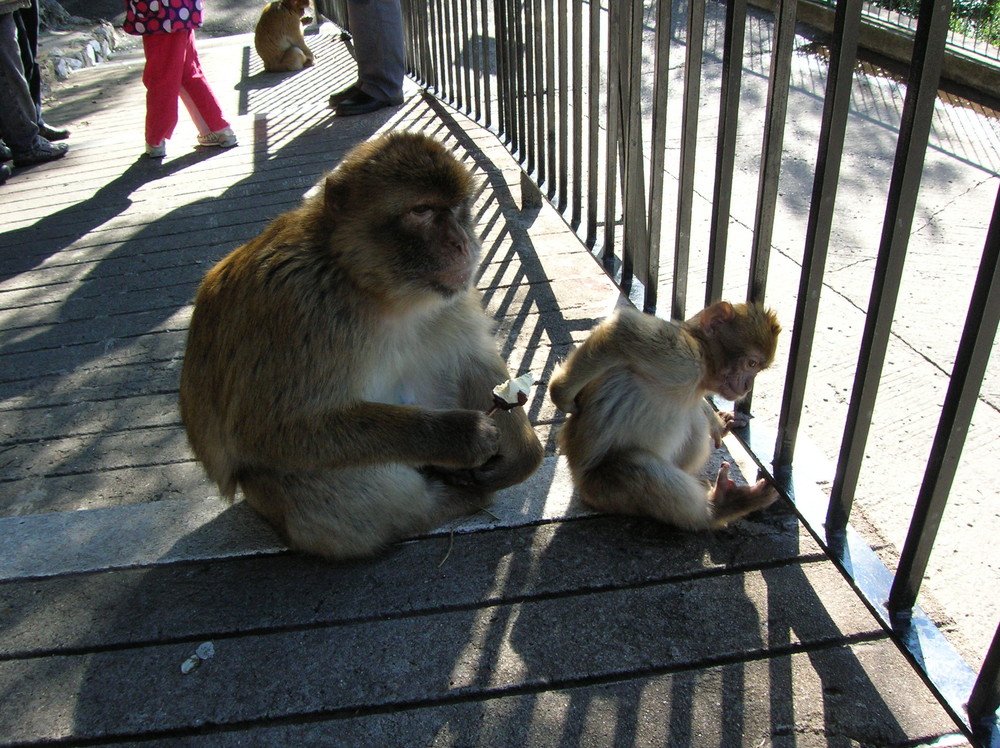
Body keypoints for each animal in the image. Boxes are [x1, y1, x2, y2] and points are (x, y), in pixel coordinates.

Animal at [552, 300, 784, 528]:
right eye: (751, 363)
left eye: (757, 369)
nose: (747, 387)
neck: (704, 368)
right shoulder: (683, 358)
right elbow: (623, 329)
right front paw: (561, 395)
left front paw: (720, 423)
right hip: (601, 488)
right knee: (633, 465)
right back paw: (720, 507)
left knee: (692, 418)